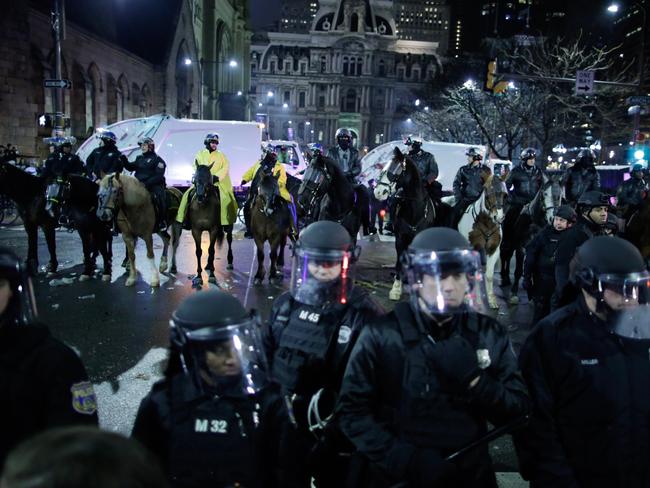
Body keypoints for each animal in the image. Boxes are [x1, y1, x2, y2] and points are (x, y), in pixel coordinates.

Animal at [374, 148, 450, 302]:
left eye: (393, 171)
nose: (378, 192)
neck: (415, 209)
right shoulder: (400, 238)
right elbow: (399, 261)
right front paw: (396, 289)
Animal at [456, 173, 506, 306]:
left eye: (505, 194)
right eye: (488, 193)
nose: (498, 217)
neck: (485, 224)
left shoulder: (493, 251)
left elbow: (488, 275)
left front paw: (491, 299)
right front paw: (469, 298)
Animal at [496, 171, 560, 302]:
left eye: (560, 194)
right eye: (545, 193)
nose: (553, 218)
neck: (534, 221)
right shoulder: (521, 246)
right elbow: (519, 270)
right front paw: (514, 294)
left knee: (508, 256)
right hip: (507, 240)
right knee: (504, 254)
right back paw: (503, 278)